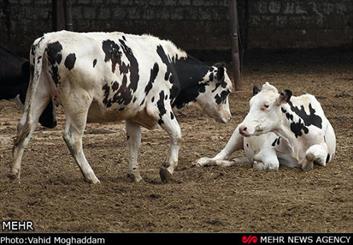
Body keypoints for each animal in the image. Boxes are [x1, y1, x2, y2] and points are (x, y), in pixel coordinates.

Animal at [9, 30, 232, 183]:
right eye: (226, 91)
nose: (229, 117)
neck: (170, 62)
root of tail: (47, 40)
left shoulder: (133, 115)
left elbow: (134, 143)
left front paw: (135, 175)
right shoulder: (160, 106)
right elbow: (177, 134)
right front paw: (167, 170)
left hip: (39, 93)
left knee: (25, 127)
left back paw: (14, 173)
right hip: (78, 103)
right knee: (73, 138)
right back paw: (91, 177)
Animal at [195, 82, 336, 170]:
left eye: (266, 105)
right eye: (250, 104)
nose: (243, 127)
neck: (295, 138)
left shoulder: (324, 153)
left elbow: (310, 153)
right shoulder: (267, 148)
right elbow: (273, 164)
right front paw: (257, 163)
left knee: (236, 160)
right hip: (236, 136)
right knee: (223, 153)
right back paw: (205, 161)